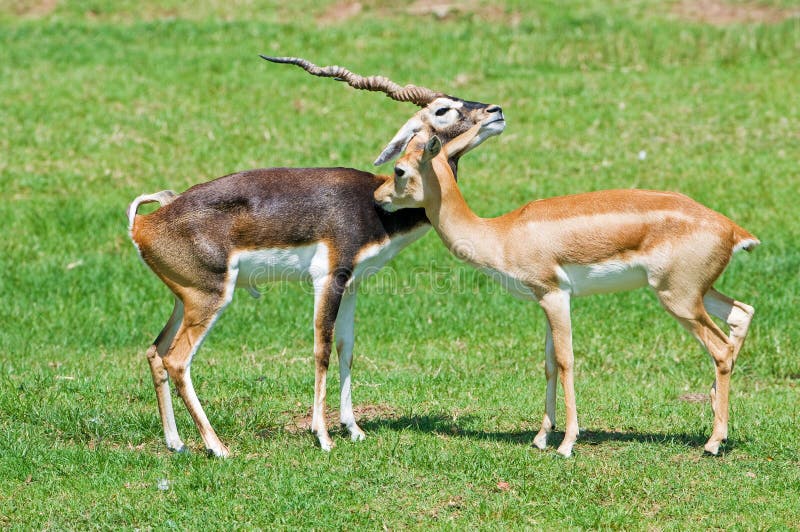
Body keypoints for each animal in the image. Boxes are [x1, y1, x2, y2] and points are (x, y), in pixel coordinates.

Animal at [129, 58, 510, 458]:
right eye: (442, 110)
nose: (495, 111)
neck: (375, 204)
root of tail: (143, 224)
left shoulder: (354, 284)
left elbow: (347, 347)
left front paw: (353, 428)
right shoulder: (328, 277)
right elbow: (322, 348)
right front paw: (323, 435)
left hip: (184, 299)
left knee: (155, 352)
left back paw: (176, 442)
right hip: (210, 298)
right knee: (177, 360)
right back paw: (217, 447)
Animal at [374, 128, 756, 458]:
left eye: (399, 169)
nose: (378, 199)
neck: (502, 233)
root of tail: (733, 230)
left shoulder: (555, 295)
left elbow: (565, 360)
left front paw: (567, 443)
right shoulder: (546, 301)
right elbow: (548, 364)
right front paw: (542, 436)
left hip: (678, 299)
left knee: (721, 349)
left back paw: (713, 442)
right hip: (696, 293)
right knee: (742, 313)